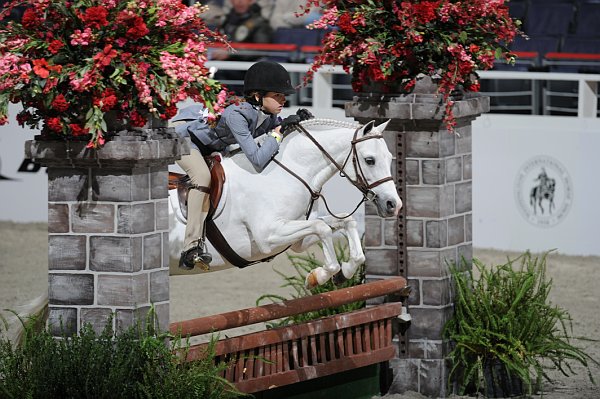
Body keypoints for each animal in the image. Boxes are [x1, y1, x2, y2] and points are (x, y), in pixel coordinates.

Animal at [170, 117, 404, 290]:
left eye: (389, 157)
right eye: (370, 160)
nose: (394, 204)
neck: (288, 172)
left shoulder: (297, 237)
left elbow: (346, 222)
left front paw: (343, 273)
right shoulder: (268, 236)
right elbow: (322, 227)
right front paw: (318, 276)